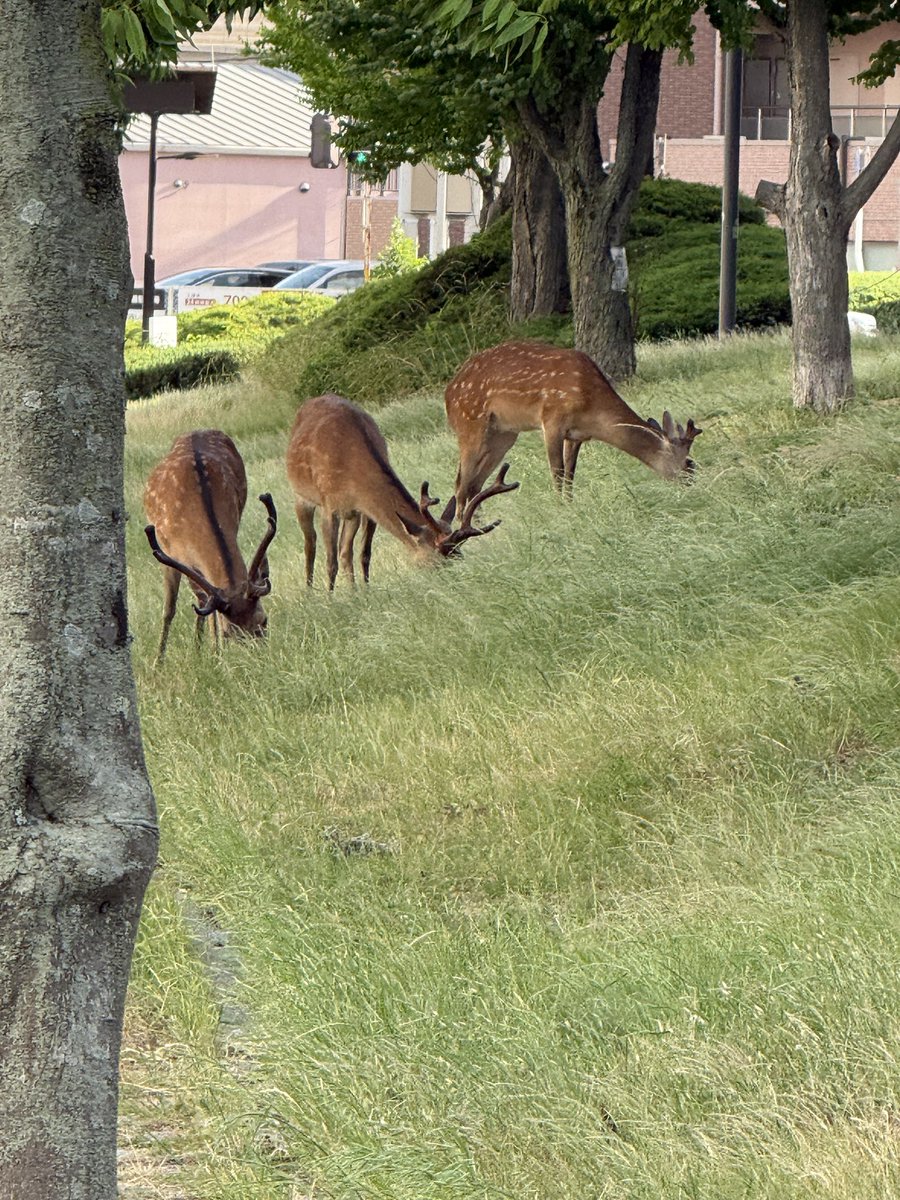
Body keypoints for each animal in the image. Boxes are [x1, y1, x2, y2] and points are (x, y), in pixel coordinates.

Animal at [143, 429, 277, 661]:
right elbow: (170, 608)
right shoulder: (169, 553)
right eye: (228, 633)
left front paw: (213, 653)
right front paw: (158, 662)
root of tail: (195, 431)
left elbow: (207, 603)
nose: (260, 660)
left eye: (264, 621)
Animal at [285, 393, 519, 589]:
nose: (456, 584)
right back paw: (309, 593)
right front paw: (331, 599)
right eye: (436, 564)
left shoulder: (366, 509)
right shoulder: (329, 506)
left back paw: (352, 591)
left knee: (345, 552)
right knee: (310, 546)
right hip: (301, 497)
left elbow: (364, 554)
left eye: (459, 555)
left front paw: (364, 592)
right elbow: (330, 561)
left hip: (351, 515)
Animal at [445, 340, 702, 508]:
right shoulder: (552, 420)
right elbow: (557, 472)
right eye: (689, 464)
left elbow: (570, 474)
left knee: (474, 485)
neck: (591, 407)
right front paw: (559, 508)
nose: (694, 489)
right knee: (461, 485)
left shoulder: (576, 435)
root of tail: (448, 394)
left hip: (503, 435)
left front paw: (569, 506)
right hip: (471, 423)